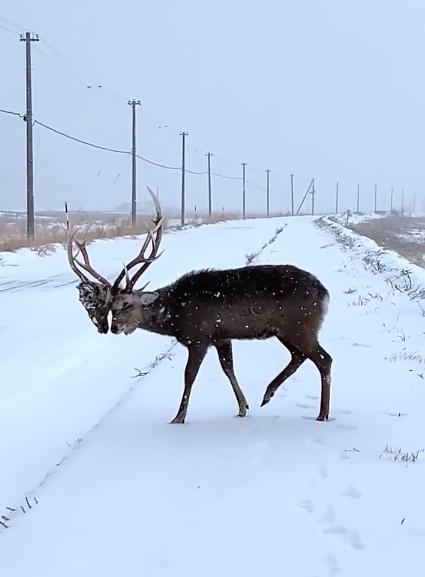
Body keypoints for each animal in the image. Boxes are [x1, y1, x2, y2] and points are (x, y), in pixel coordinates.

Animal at [67, 188, 332, 424]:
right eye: (110, 306)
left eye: (127, 304)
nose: (114, 328)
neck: (176, 315)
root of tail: (325, 293)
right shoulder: (221, 336)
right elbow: (228, 368)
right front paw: (243, 407)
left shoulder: (199, 336)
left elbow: (189, 375)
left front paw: (178, 417)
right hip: (288, 330)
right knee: (300, 356)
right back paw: (269, 394)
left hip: (300, 324)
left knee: (323, 359)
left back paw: (322, 413)